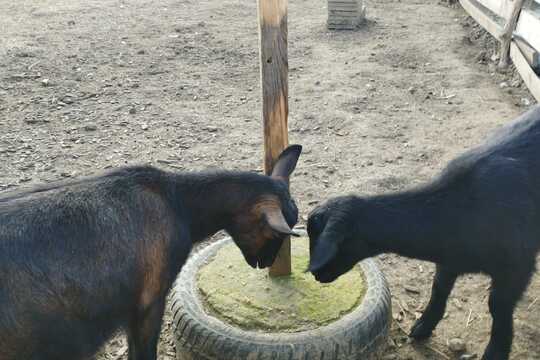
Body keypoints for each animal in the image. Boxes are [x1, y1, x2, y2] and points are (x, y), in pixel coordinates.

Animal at [308, 105, 540, 358]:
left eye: (325, 242)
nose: (315, 274)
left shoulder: (517, 266)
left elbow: (498, 307)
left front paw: (496, 352)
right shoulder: (449, 259)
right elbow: (439, 288)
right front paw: (423, 326)